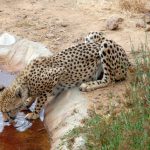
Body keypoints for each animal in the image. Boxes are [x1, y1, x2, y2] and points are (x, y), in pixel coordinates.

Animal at [0, 31, 131, 120]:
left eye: (8, 111)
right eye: (2, 111)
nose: (6, 121)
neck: (26, 81)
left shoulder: (55, 74)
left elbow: (41, 99)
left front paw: (35, 113)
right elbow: (33, 97)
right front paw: (28, 102)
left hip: (106, 45)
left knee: (109, 79)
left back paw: (88, 85)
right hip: (91, 36)